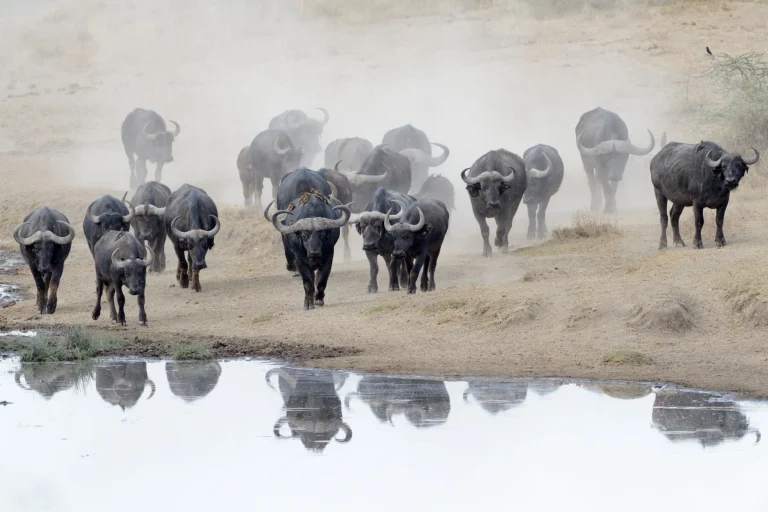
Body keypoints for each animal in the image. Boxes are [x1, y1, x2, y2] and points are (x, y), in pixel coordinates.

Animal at [267, 169, 352, 309]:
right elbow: (307, 281)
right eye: (304, 236)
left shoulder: (329, 255)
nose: (314, 252)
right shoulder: (300, 258)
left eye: (322, 235)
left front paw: (318, 298)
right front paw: (308, 302)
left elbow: (322, 279)